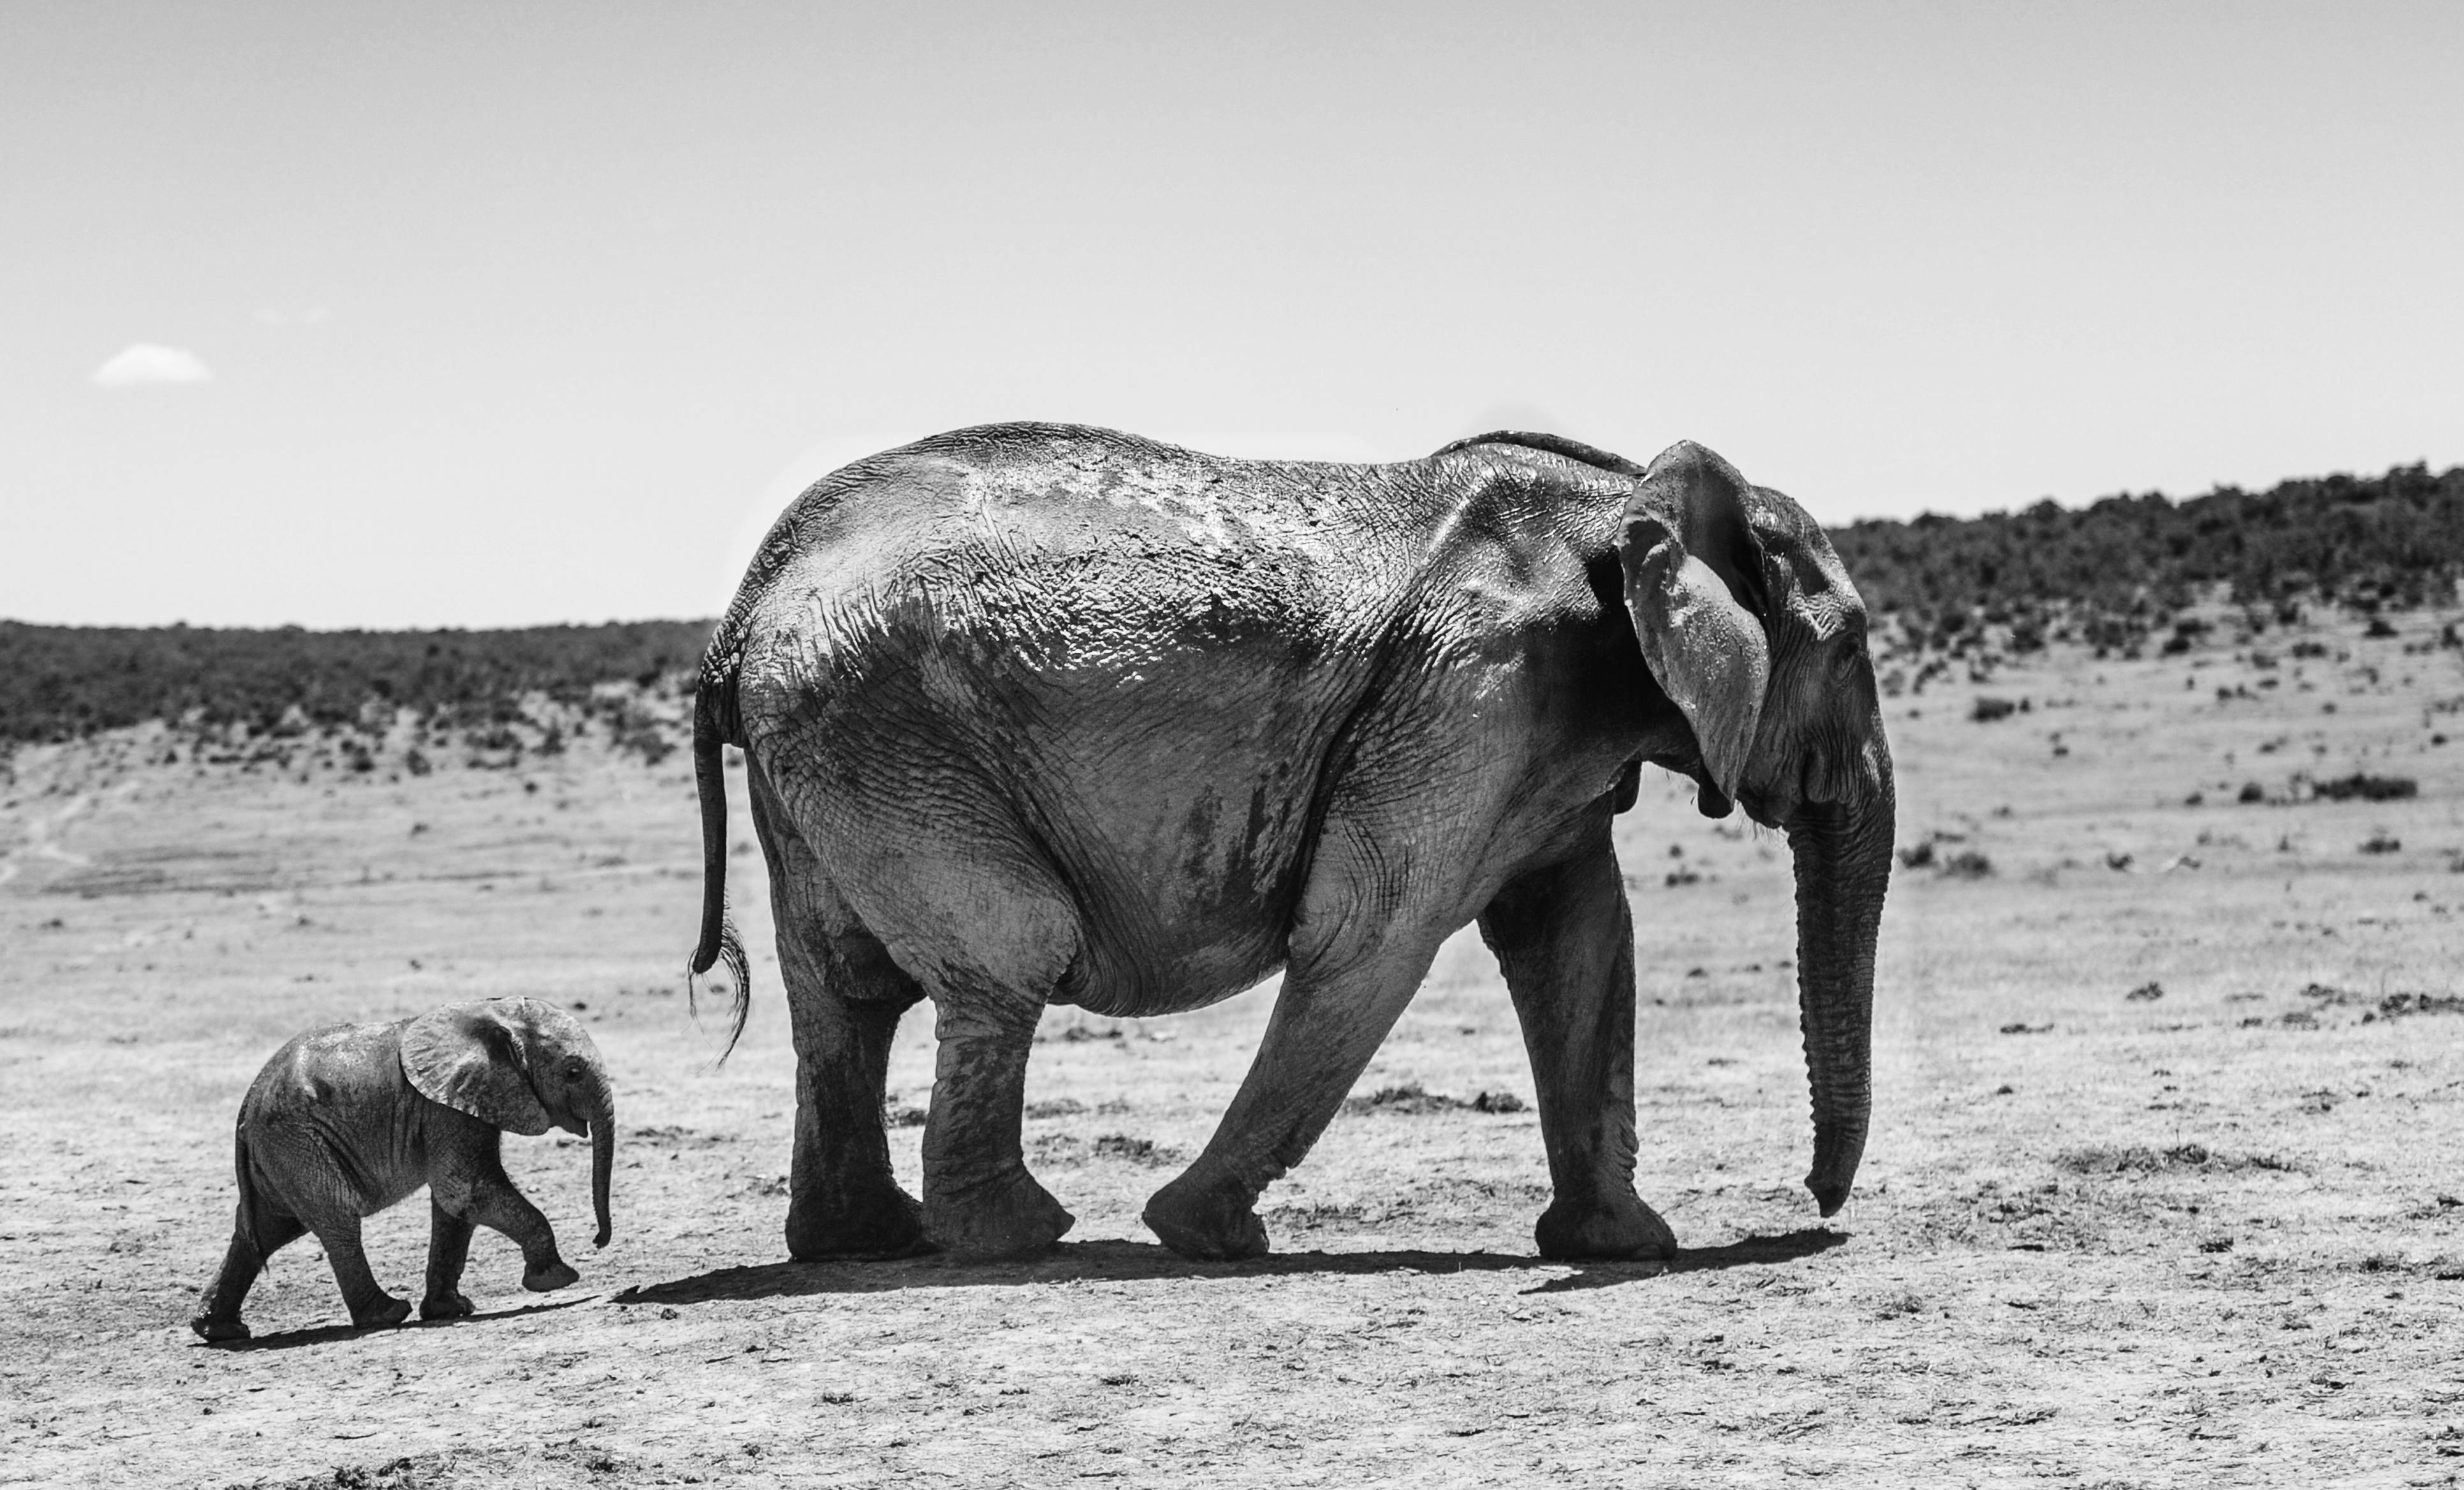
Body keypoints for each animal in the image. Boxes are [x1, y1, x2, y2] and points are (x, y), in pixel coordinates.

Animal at [191, 997, 615, 1341]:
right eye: (573, 1072)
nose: (598, 1241)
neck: (490, 1012)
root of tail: (247, 1105)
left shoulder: (458, 1103)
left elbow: (455, 1207)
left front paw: (452, 1310)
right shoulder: (444, 1108)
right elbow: (465, 1189)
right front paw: (557, 1279)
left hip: (279, 1153)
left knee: (265, 1230)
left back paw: (220, 1331)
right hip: (297, 1143)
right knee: (337, 1222)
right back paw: (387, 1315)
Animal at [685, 423, 1892, 1263]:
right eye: (1849, 647)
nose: (1813, 1202)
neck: (1621, 503)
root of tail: (743, 609)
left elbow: (1577, 943)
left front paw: (1627, 1247)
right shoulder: (1471, 697)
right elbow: (1368, 937)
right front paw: (1201, 1234)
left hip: (824, 751)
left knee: (843, 991)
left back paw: (864, 1242)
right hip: (883, 733)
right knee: (1007, 957)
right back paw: (1021, 1236)